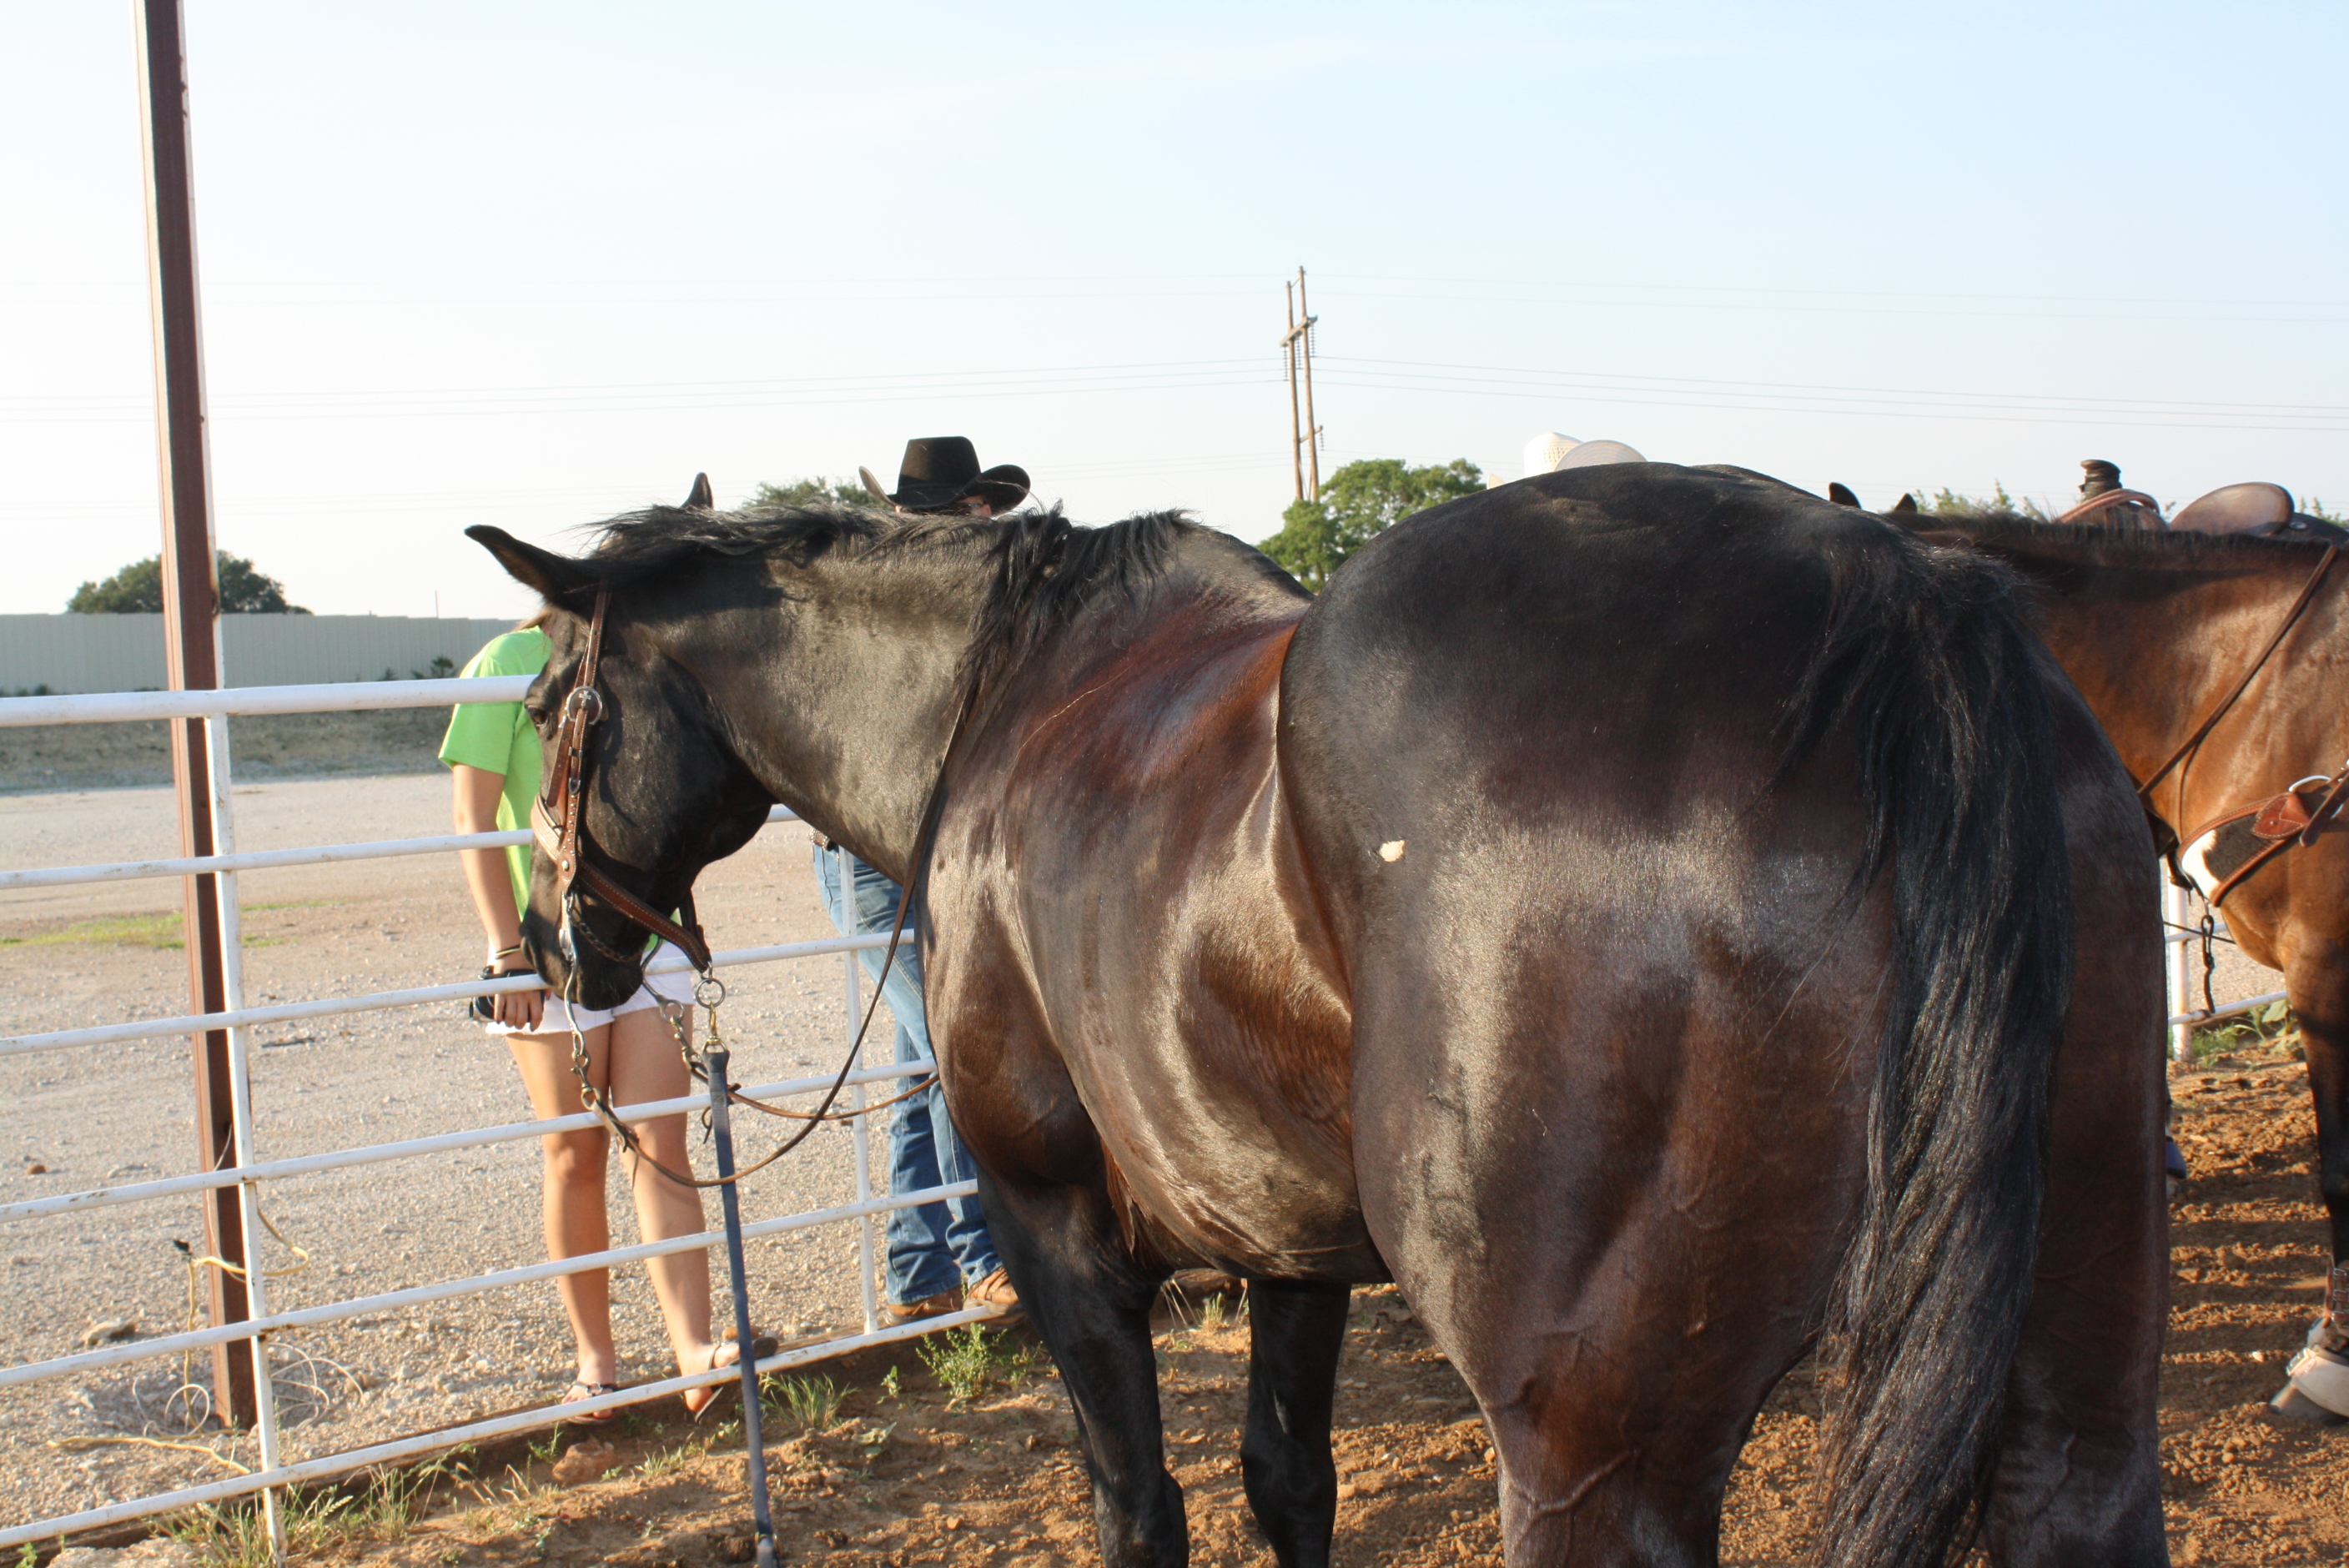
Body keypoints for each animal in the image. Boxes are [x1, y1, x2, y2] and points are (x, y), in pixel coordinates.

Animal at [468, 461, 2168, 1566]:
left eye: (548, 708)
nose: (549, 950)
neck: (1008, 703)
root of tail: (1890, 592)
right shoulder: (1284, 1240)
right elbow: (1287, 1480)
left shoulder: (1055, 1226)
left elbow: (1139, 1505)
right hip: (2078, 1376)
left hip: (1597, 1452)